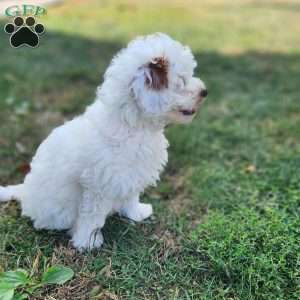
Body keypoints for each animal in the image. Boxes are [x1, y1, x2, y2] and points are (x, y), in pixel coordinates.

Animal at [0, 32, 207, 250]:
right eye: (182, 80)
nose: (205, 91)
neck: (133, 123)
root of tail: (24, 192)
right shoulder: (97, 186)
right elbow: (91, 216)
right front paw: (88, 242)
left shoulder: (131, 174)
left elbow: (131, 196)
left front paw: (136, 213)